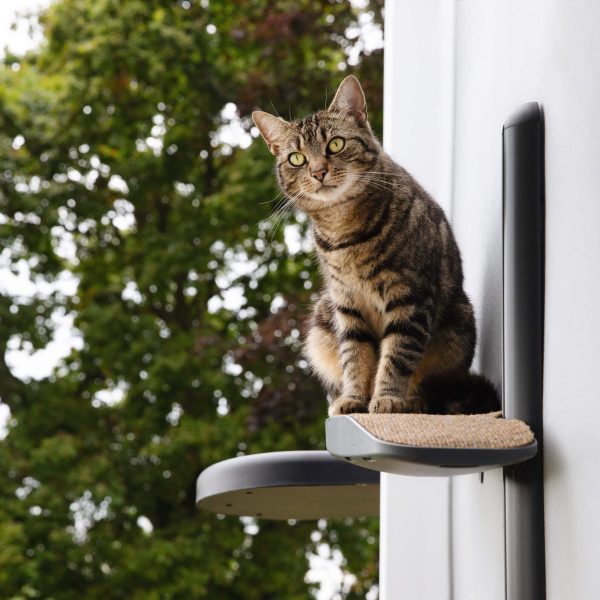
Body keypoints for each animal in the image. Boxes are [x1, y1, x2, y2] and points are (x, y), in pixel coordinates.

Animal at [251, 77, 500, 414]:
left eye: (336, 144)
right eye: (296, 158)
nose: (318, 171)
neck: (343, 232)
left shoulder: (410, 299)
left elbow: (397, 356)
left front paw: (387, 399)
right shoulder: (347, 304)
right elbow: (355, 358)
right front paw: (354, 398)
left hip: (458, 328)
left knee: (427, 383)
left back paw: (412, 401)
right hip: (322, 317)